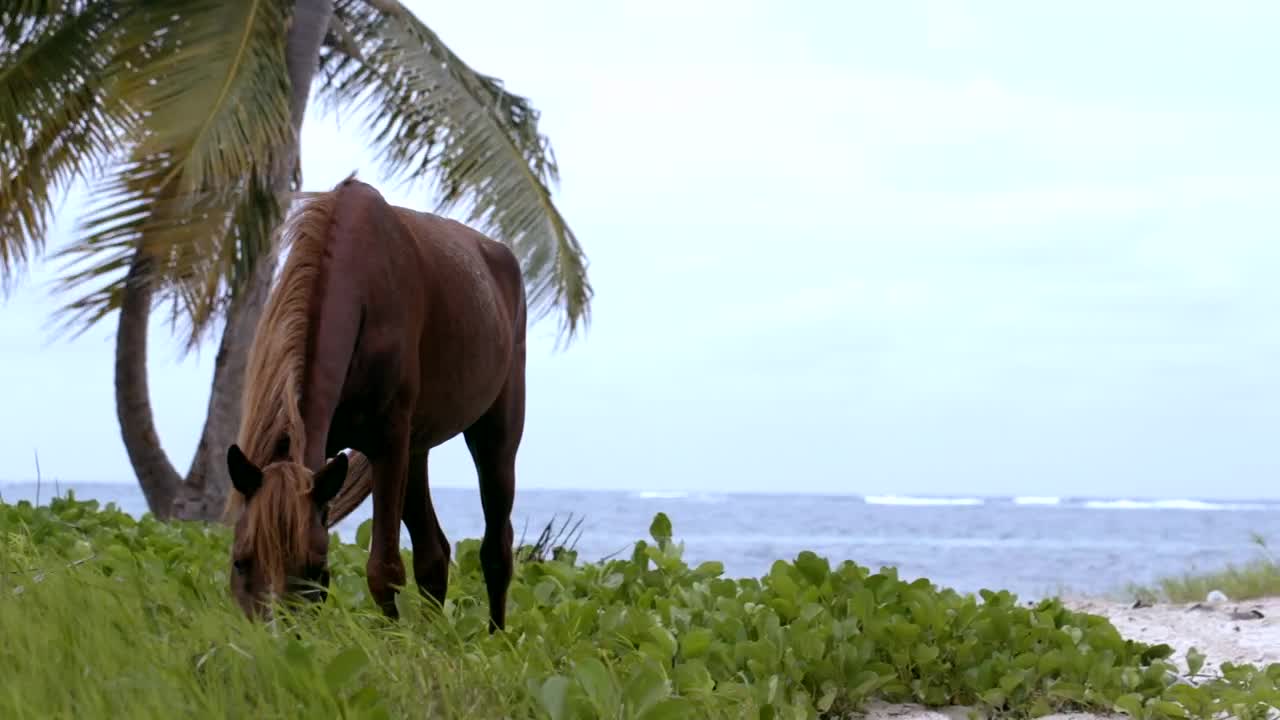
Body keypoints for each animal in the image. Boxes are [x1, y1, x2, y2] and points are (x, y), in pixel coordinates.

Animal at [223, 176, 526, 632]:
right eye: (241, 562)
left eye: (315, 568)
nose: (277, 640)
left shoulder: (388, 443)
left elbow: (383, 570)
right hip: (417, 448)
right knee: (433, 554)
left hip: (495, 435)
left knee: (496, 548)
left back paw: (496, 636)